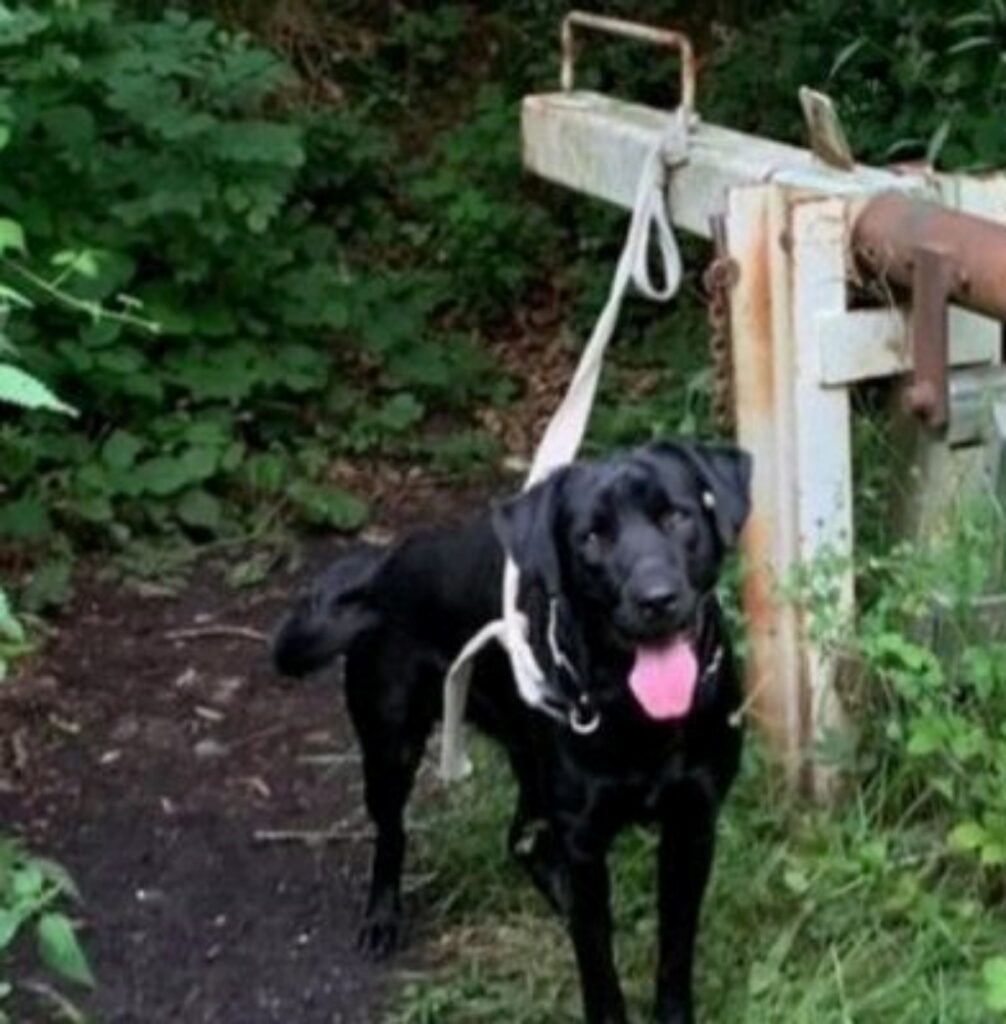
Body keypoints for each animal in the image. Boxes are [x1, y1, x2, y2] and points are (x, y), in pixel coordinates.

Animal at [272, 440, 753, 1024]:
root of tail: (385, 565)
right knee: (392, 832)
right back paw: (382, 919)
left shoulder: (692, 826)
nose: (655, 599)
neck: (635, 712)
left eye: (676, 516)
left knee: (522, 839)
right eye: (592, 538)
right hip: (391, 745)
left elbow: (675, 952)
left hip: (529, 763)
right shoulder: (584, 843)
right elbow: (598, 967)